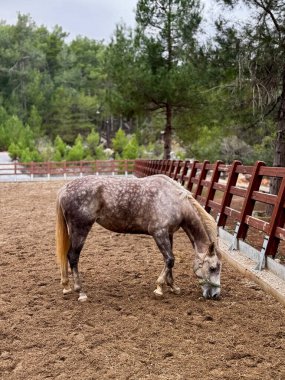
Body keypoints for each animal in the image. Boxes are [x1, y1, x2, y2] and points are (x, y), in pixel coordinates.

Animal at [54, 174, 221, 302]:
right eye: (213, 268)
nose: (215, 295)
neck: (174, 200)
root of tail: (65, 188)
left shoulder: (169, 234)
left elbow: (169, 261)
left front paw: (173, 286)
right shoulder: (159, 233)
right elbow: (170, 259)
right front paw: (159, 288)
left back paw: (66, 286)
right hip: (80, 229)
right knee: (73, 257)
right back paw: (80, 292)